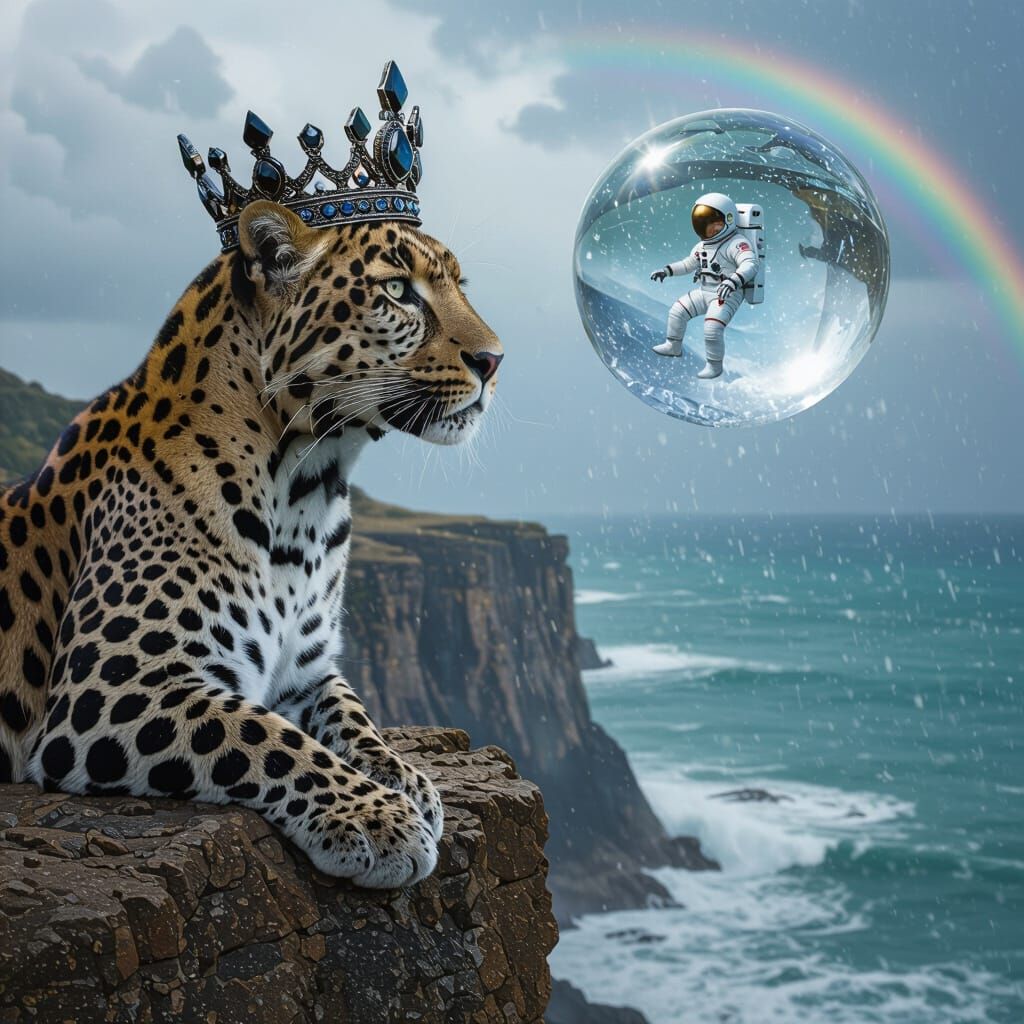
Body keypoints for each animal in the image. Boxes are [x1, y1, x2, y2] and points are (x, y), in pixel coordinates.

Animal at [0, 200, 502, 888]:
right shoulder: (109, 690)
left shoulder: (307, 671)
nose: (495, 360)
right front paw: (378, 818)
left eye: (458, 285)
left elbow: (351, 718)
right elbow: (263, 738)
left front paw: (404, 778)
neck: (306, 496)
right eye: (399, 291)